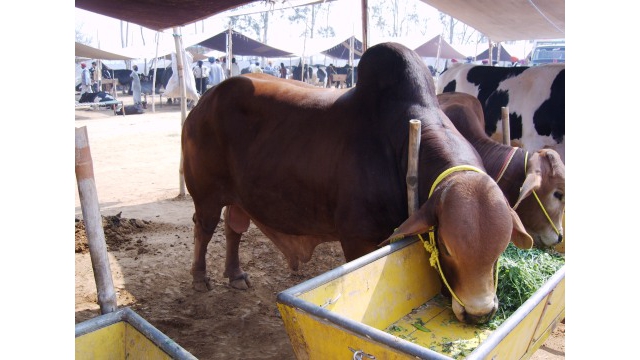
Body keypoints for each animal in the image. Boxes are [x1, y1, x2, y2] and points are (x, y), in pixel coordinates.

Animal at [180, 41, 528, 324]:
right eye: (447, 247)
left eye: (501, 249)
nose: (479, 313)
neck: (405, 147)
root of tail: (205, 100)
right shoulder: (358, 238)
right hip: (206, 194)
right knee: (204, 228)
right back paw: (199, 278)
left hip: (238, 196)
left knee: (233, 228)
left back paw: (235, 274)